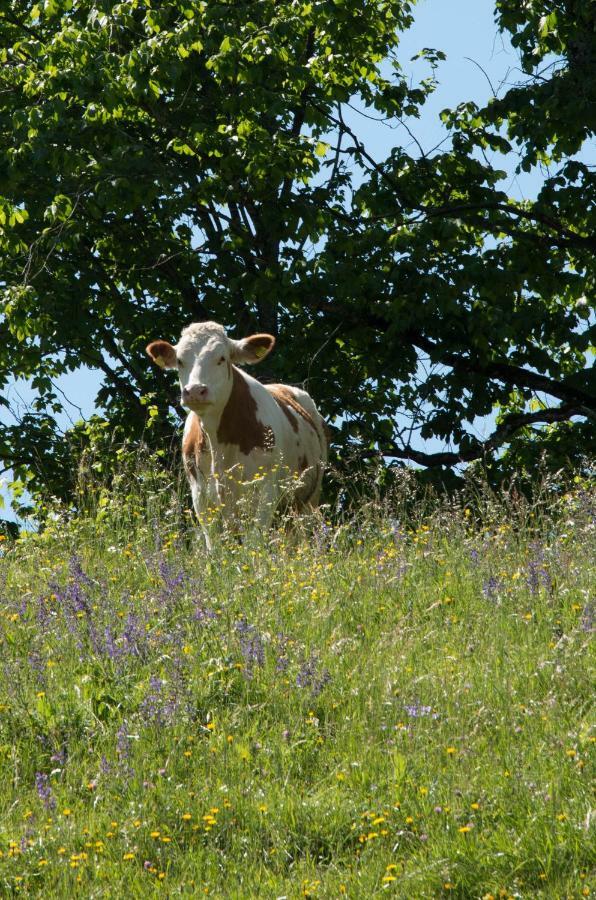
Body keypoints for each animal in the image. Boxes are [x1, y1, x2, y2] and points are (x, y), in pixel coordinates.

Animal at [147, 324, 328, 544]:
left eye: (222, 358)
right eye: (180, 360)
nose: (195, 391)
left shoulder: (266, 492)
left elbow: (255, 541)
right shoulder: (200, 497)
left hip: (309, 499)